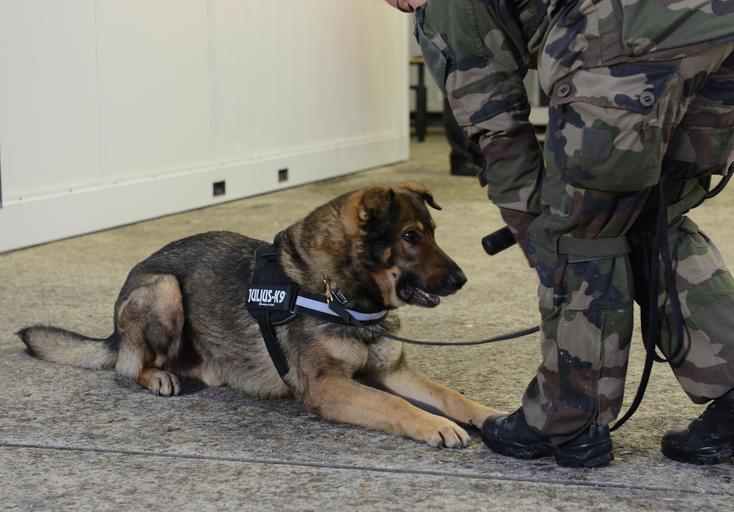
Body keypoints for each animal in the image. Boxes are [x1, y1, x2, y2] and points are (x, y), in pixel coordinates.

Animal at [17, 182, 497, 448]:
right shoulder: (327, 388)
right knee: (129, 366)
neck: (338, 292)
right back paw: (157, 376)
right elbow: (394, 403)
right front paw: (434, 425)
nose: (462, 278)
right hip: (164, 289)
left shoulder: (391, 371)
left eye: (433, 233)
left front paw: (487, 414)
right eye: (411, 236)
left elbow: (448, 395)